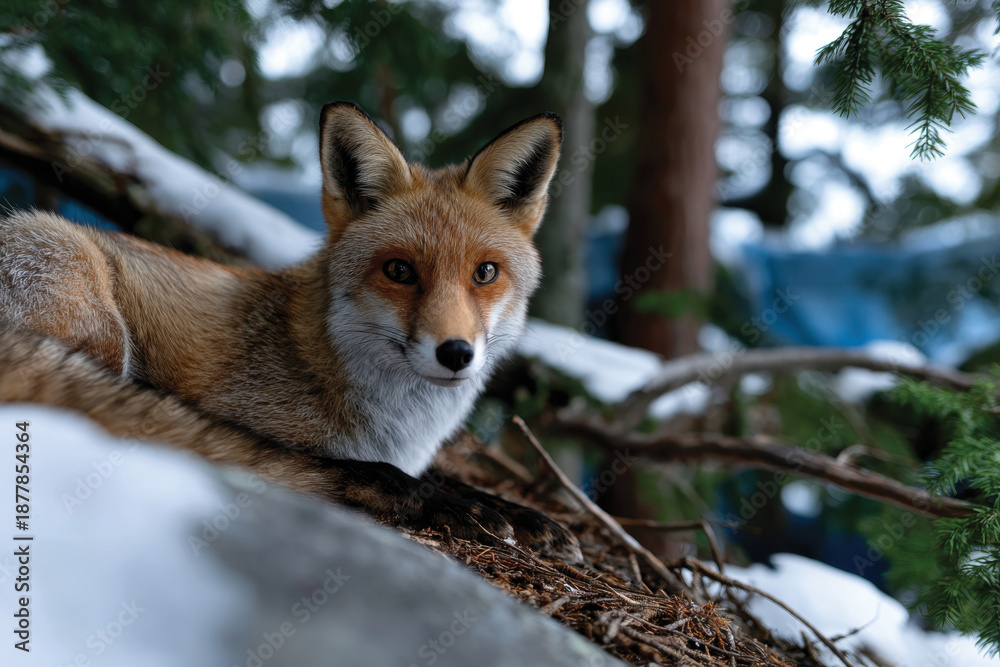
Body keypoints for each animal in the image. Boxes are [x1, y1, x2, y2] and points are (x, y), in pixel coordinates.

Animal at [0, 102, 580, 559]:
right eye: (399, 271)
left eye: (485, 273)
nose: (456, 353)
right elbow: (343, 466)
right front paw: (454, 506)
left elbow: (441, 474)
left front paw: (522, 515)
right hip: (97, 322)